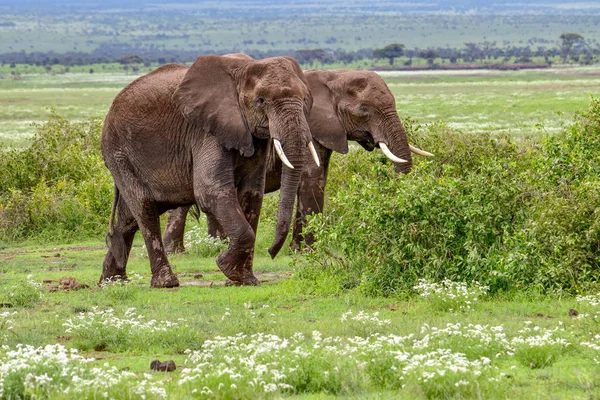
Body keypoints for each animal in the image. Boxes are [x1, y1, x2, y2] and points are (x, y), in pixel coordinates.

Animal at [99, 55, 322, 288]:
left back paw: (111, 282)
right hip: (118, 151)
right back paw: (166, 283)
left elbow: (252, 193)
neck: (242, 71)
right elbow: (210, 190)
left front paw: (244, 280)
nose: (271, 252)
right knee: (145, 208)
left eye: (305, 99)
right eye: (260, 100)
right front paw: (226, 266)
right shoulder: (205, 131)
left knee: (128, 218)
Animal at [159, 69, 432, 253]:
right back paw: (182, 251)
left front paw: (298, 250)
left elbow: (316, 181)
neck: (333, 76)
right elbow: (312, 182)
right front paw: (308, 252)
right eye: (364, 109)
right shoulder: (310, 127)